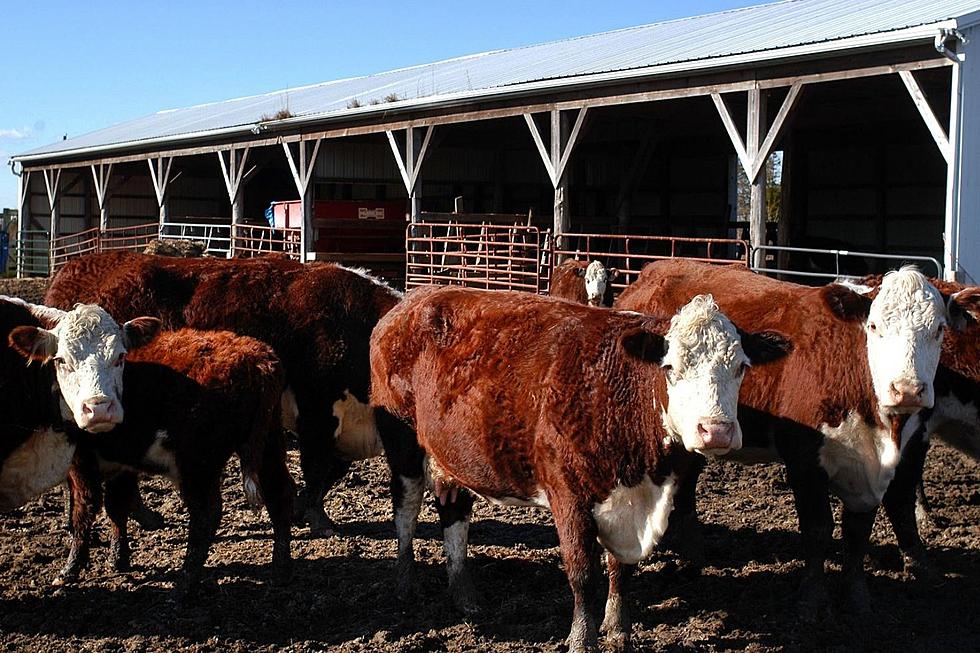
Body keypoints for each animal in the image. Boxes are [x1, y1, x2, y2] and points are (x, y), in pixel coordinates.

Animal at [51, 328, 290, 592]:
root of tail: (256, 358)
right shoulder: (123, 464)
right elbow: (117, 506)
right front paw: (118, 557)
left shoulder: (80, 460)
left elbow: (85, 509)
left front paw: (71, 566)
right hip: (268, 444)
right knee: (280, 493)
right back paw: (280, 569)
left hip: (197, 463)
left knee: (206, 514)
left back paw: (185, 581)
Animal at [368, 286, 788, 652]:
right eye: (670, 367)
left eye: (741, 367)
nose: (715, 430)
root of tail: (415, 297)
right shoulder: (568, 495)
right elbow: (582, 570)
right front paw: (581, 639)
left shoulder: (628, 502)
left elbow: (621, 569)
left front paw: (618, 629)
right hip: (402, 440)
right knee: (405, 509)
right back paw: (406, 582)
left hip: (451, 454)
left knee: (453, 509)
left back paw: (465, 594)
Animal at [612, 258, 956, 612]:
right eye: (874, 327)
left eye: (938, 330)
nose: (907, 389)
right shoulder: (804, 459)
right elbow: (818, 528)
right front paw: (812, 598)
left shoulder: (901, 454)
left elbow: (871, 524)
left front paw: (864, 593)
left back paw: (694, 556)